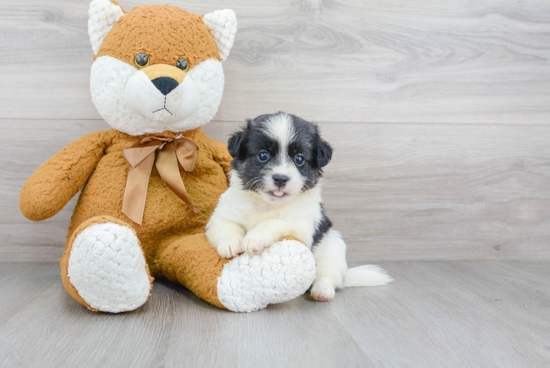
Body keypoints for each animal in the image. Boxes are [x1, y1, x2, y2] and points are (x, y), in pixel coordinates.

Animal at [207, 113, 392, 302]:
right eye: (263, 155)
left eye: (299, 159)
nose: (281, 179)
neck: (269, 204)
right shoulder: (221, 216)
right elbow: (227, 227)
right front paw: (230, 244)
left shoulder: (301, 228)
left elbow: (273, 222)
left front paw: (256, 238)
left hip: (333, 246)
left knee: (328, 276)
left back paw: (322, 291)